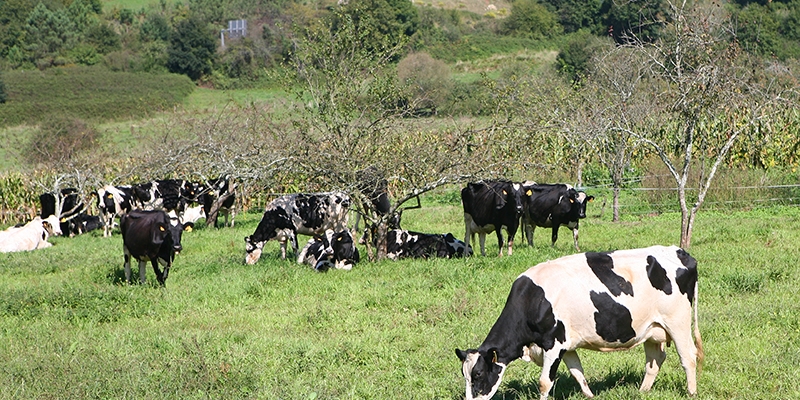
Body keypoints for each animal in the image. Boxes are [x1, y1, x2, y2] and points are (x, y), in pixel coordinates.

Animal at [456, 245, 700, 398]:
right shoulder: (567, 344)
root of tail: (679, 251)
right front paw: (590, 395)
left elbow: (545, 382)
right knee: (654, 360)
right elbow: (577, 372)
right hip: (651, 328)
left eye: (478, 374)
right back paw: (642, 392)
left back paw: (691, 392)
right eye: (464, 375)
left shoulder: (554, 344)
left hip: (677, 322)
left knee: (688, 357)